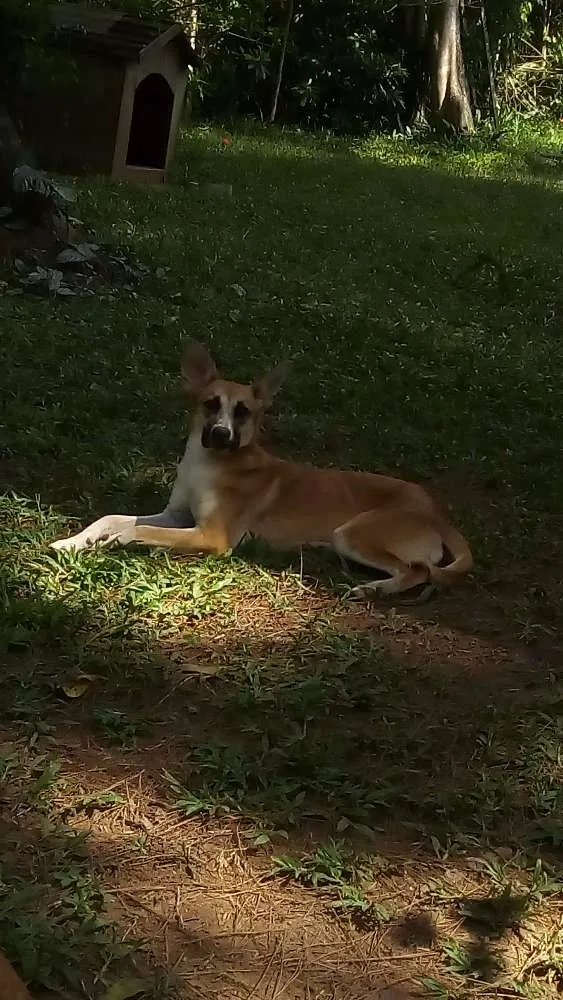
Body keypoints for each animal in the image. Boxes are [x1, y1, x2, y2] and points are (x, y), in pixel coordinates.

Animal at [50, 344, 474, 596]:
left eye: (243, 412)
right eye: (210, 404)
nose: (221, 434)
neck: (209, 464)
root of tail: (437, 513)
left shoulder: (212, 537)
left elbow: (135, 530)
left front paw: (108, 543)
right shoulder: (176, 515)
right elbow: (111, 518)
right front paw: (72, 541)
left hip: (353, 534)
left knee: (419, 570)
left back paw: (375, 589)